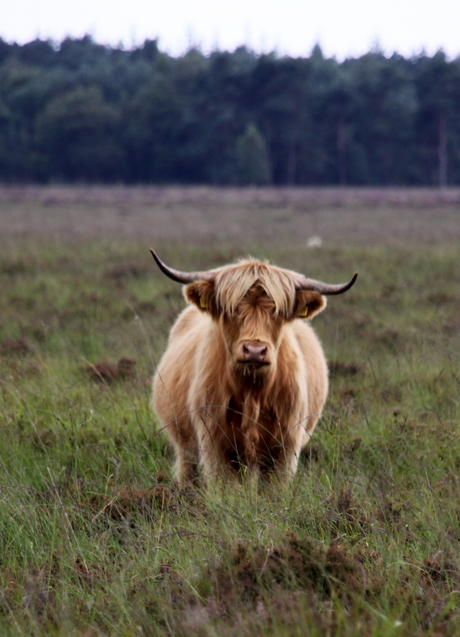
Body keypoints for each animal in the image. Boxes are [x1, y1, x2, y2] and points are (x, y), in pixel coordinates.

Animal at [151, 251, 356, 484]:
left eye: (278, 312)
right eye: (231, 310)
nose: (255, 350)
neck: (253, 392)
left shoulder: (285, 447)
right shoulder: (214, 443)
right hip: (185, 447)